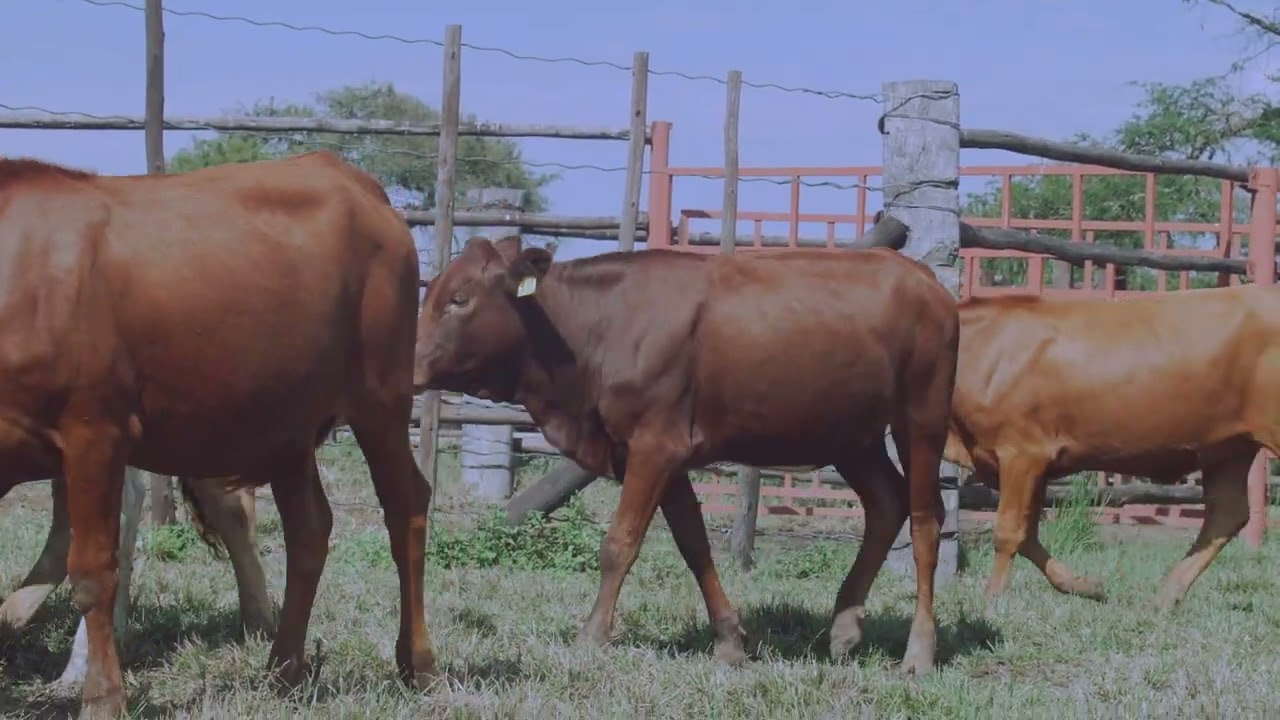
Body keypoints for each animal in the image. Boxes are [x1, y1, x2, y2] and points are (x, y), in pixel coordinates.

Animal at [413, 235, 959, 674]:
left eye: (459, 299)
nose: (411, 368)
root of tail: (925, 278)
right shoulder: (662, 453)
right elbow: (694, 545)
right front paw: (730, 640)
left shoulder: (655, 445)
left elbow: (619, 543)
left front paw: (591, 635)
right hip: (851, 435)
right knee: (886, 504)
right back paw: (845, 627)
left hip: (921, 417)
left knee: (925, 519)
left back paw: (918, 651)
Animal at [944, 285, 1280, 609]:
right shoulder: (1033, 464)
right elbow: (1028, 535)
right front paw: (1087, 586)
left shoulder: (1022, 452)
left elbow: (1009, 531)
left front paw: (992, 602)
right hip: (1228, 449)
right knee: (1227, 513)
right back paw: (1165, 597)